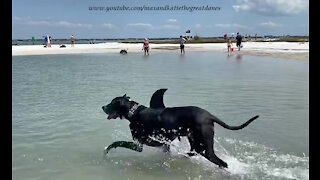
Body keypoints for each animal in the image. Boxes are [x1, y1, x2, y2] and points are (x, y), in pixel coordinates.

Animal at [101, 89, 258, 168]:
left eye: (112, 103)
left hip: (204, 147)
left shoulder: (141, 144)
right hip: (194, 139)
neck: (134, 112)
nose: (102, 106)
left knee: (221, 163)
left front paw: (107, 149)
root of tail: (209, 116)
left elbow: (118, 142)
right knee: (193, 152)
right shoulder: (163, 143)